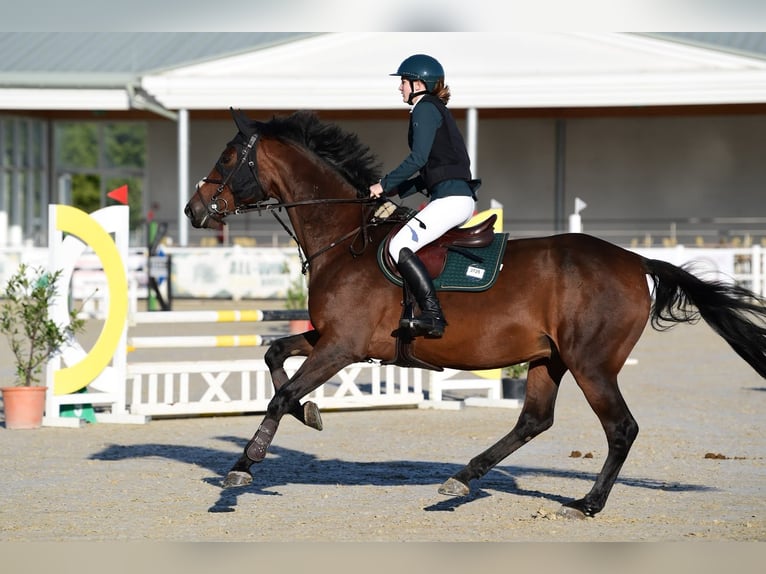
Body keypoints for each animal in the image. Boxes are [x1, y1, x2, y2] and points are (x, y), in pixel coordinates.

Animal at [185, 109, 766, 518]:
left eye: (229, 157)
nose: (193, 211)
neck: (344, 237)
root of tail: (636, 260)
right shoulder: (330, 338)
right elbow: (273, 354)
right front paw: (311, 414)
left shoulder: (340, 346)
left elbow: (281, 393)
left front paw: (244, 465)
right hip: (549, 359)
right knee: (534, 420)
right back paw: (462, 479)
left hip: (591, 364)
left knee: (621, 428)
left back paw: (587, 504)